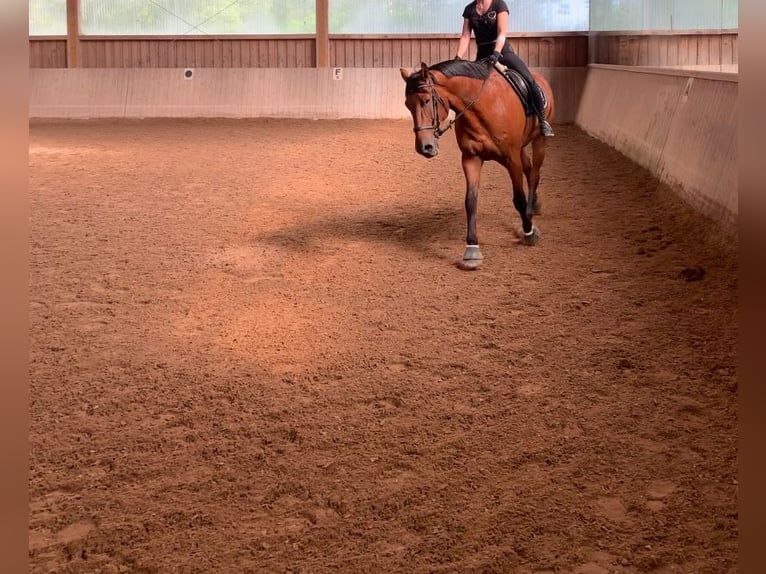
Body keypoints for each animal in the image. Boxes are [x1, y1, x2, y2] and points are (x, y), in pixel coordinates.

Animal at [402, 59, 560, 272]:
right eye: (407, 105)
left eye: (426, 101)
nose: (424, 147)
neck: (481, 107)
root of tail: (540, 78)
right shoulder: (471, 158)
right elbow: (470, 201)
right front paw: (472, 251)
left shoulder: (511, 158)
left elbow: (518, 199)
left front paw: (529, 231)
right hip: (521, 147)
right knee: (529, 168)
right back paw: (534, 204)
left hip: (539, 140)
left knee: (535, 173)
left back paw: (530, 210)